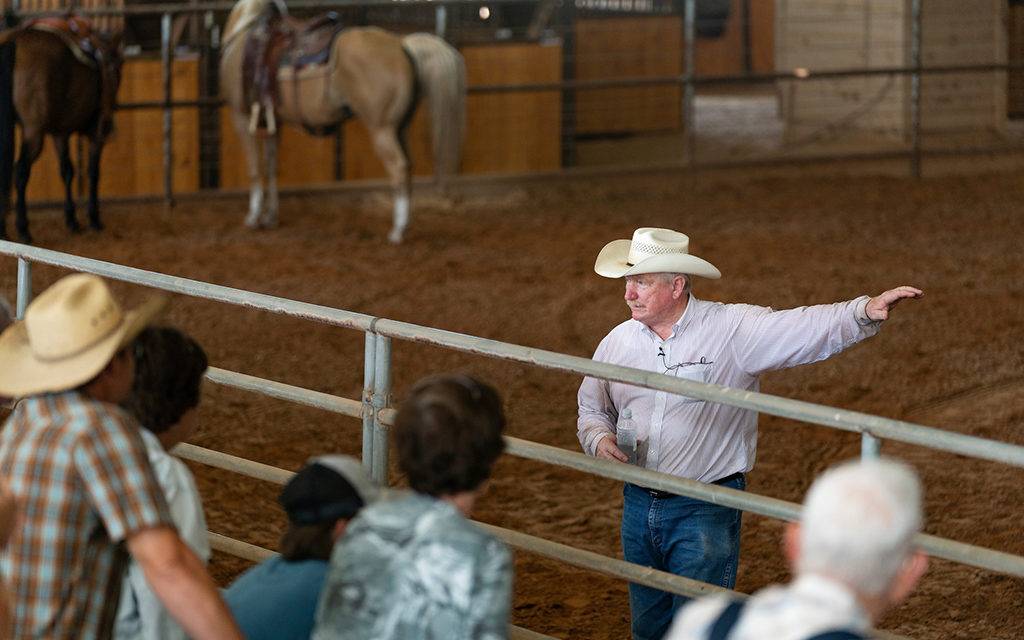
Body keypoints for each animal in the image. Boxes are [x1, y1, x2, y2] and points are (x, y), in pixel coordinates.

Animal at [0, 12, 123, 243]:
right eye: (120, 62)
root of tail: (13, 42)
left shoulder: (60, 134)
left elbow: (67, 170)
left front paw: (72, 220)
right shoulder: (96, 133)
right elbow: (93, 171)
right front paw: (94, 219)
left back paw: (4, 230)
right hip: (34, 132)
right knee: (20, 171)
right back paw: (23, 229)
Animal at [224, 0, 468, 243]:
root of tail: (402, 44)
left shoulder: (242, 116)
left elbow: (254, 168)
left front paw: (253, 218)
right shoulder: (274, 122)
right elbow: (271, 167)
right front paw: (270, 217)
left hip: (383, 129)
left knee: (399, 168)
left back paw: (398, 230)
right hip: (401, 128)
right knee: (408, 167)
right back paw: (405, 224)